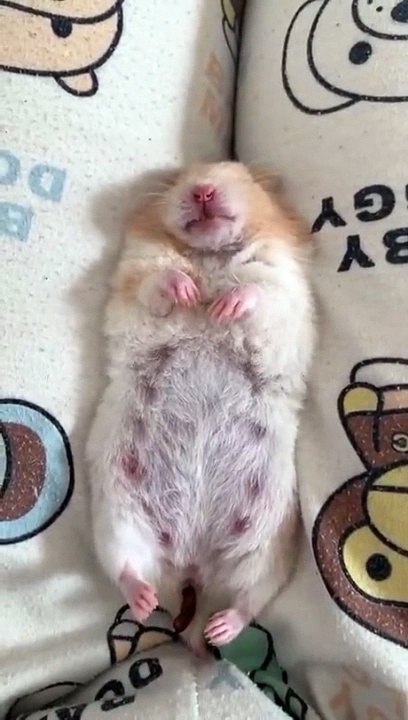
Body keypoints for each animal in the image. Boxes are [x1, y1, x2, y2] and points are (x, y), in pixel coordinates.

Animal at [87, 161, 315, 655]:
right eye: (178, 179)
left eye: (241, 174)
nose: (204, 190)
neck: (211, 256)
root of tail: (191, 564)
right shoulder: (135, 275)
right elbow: (158, 282)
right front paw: (188, 292)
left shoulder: (284, 287)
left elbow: (257, 290)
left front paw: (225, 305)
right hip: (115, 516)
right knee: (127, 569)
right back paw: (146, 603)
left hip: (269, 542)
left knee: (248, 599)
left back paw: (218, 628)